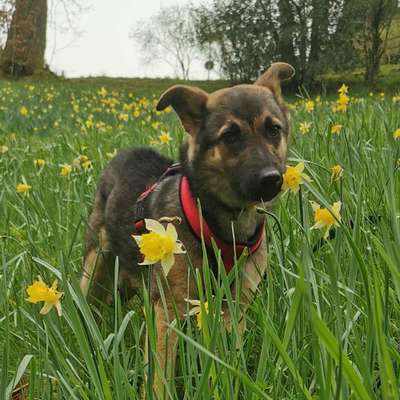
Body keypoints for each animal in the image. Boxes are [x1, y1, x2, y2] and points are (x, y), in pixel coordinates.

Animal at [80, 62, 294, 396]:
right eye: (230, 135)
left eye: (273, 129)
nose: (271, 179)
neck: (223, 226)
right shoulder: (168, 310)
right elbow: (160, 377)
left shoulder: (234, 309)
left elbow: (229, 362)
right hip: (94, 264)